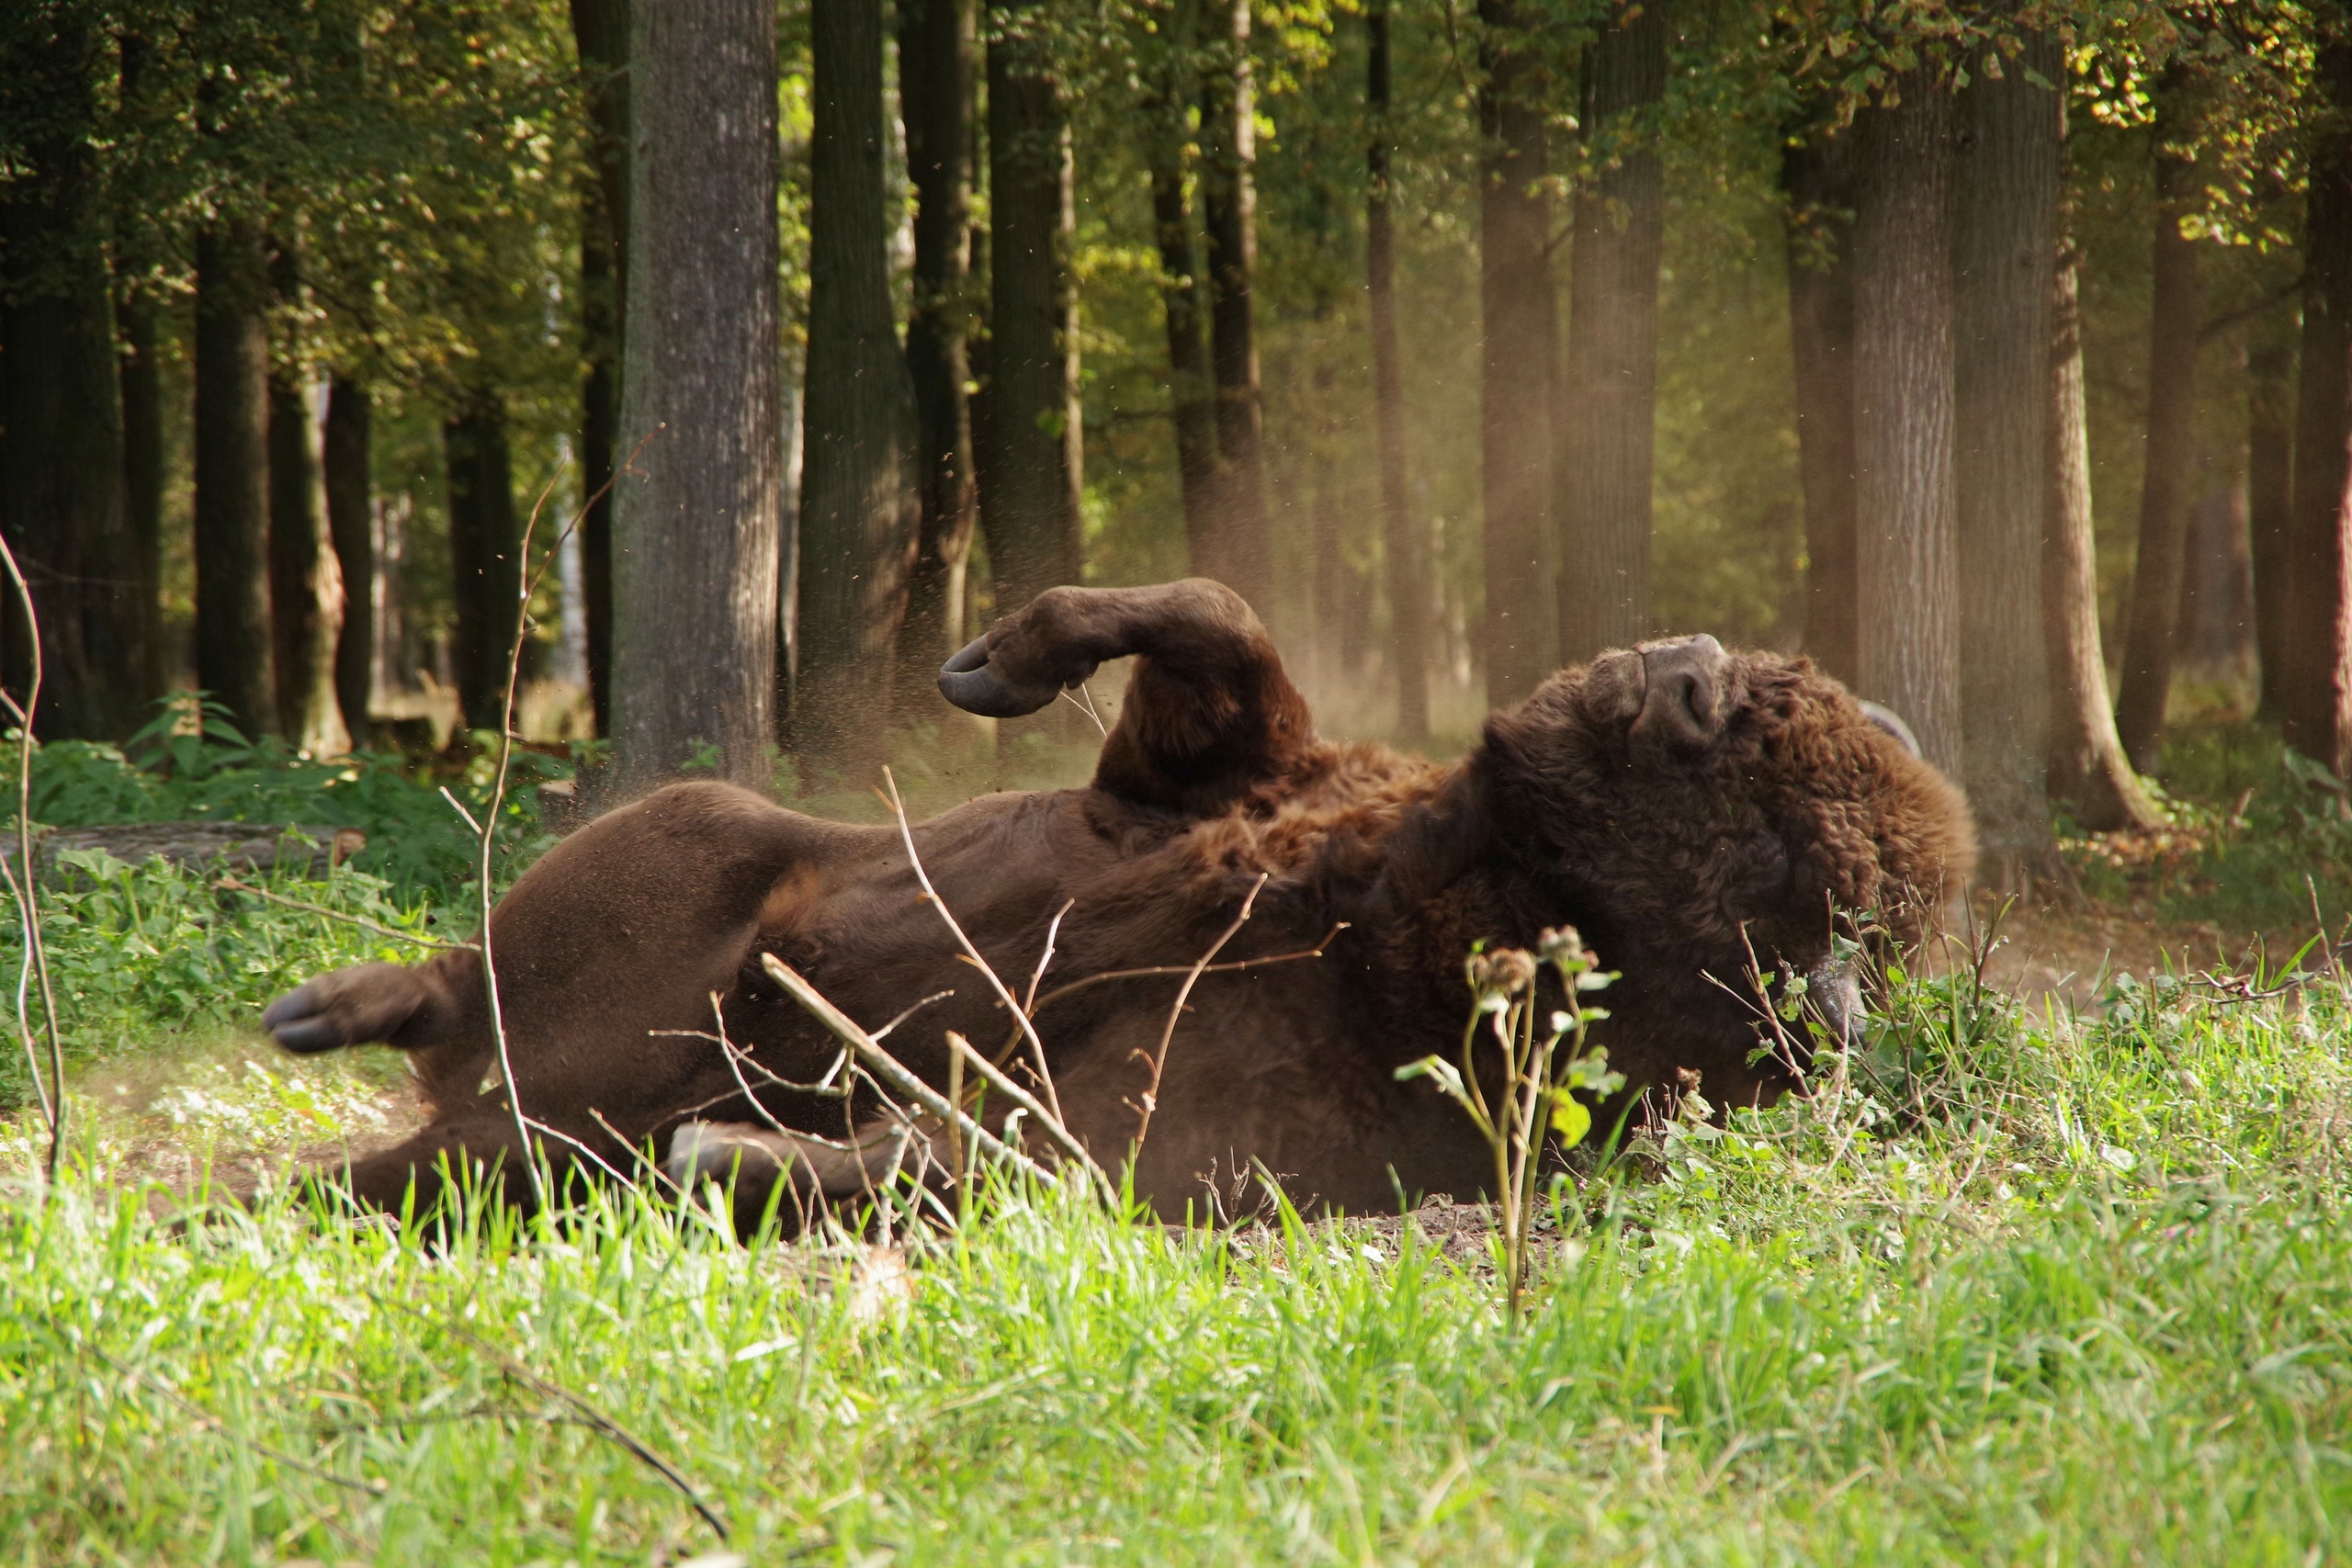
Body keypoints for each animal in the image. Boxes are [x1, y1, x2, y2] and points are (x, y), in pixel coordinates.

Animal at [257, 581, 1975, 1222]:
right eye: (1782, 718)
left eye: (1789, 859)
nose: (1685, 673)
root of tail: (479, 1089)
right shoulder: (1206, 774)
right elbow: (1213, 621)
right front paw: (988, 665)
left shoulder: (1163, 1131)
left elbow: (973, 1149)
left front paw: (732, 1148)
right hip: (695, 837)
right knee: (474, 966)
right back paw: (319, 1004)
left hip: (523, 1118)